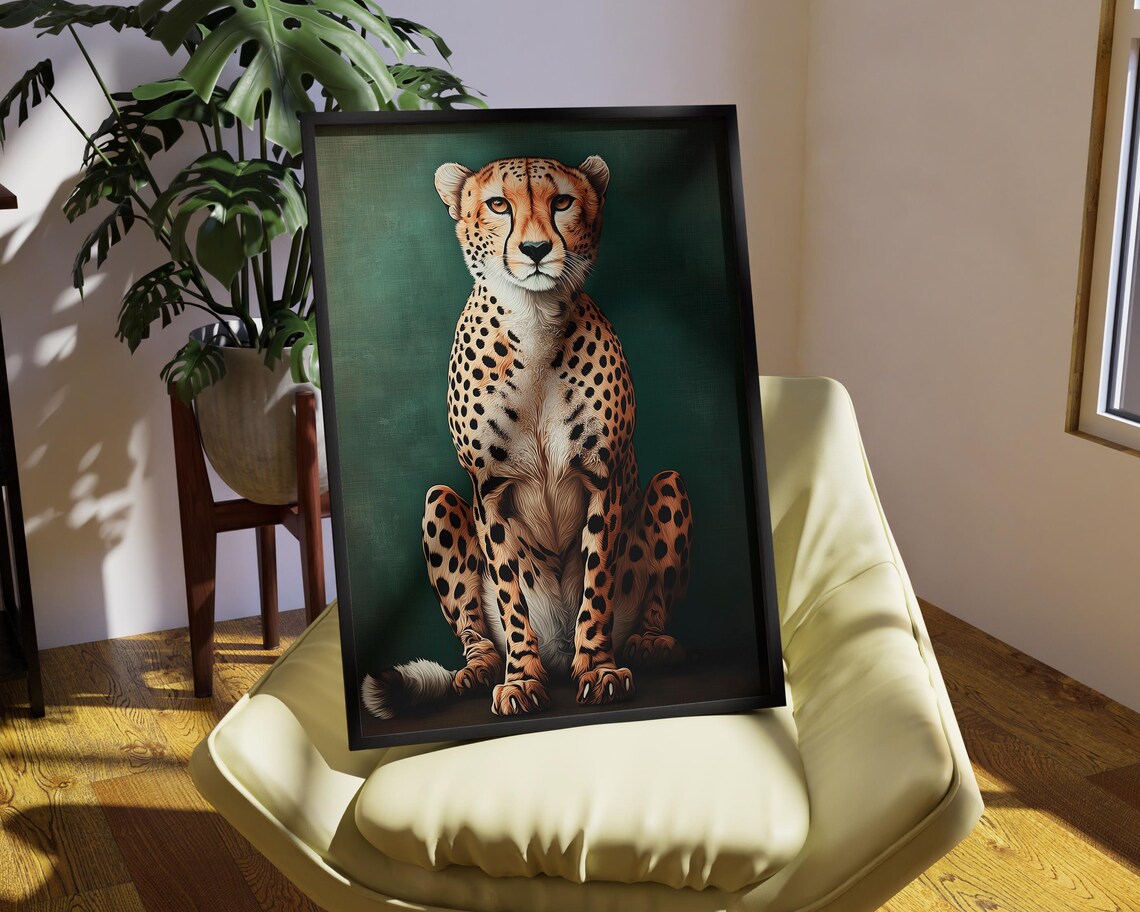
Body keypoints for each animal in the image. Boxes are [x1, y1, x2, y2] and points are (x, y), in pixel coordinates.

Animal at [362, 155, 693, 720]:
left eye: (562, 201)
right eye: (499, 204)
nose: (536, 250)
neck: (535, 319)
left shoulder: (603, 476)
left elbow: (597, 583)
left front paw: (599, 668)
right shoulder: (490, 488)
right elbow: (509, 591)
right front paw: (520, 678)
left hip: (670, 484)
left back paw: (648, 643)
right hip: (439, 500)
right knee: (475, 627)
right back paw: (480, 669)